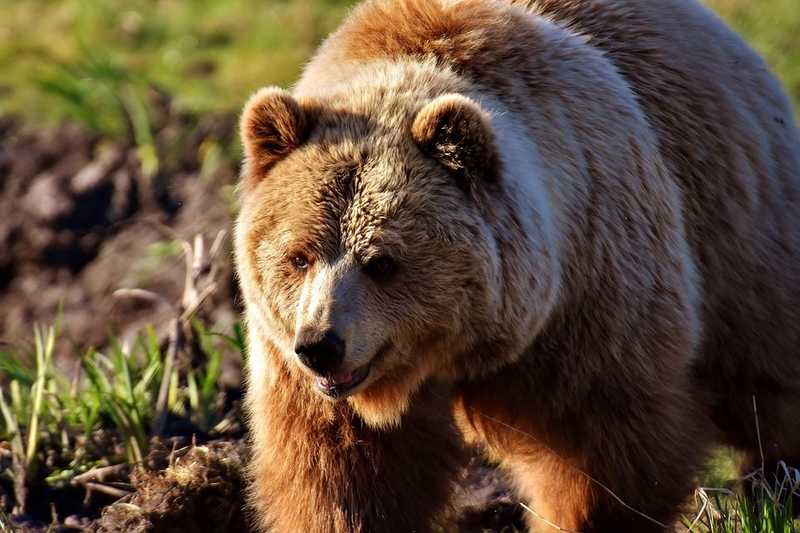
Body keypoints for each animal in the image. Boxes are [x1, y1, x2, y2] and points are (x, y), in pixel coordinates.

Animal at [234, 2, 800, 528]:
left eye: (382, 262)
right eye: (299, 256)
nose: (321, 346)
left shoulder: (591, 291)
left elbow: (601, 452)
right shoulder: (297, 369)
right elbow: (343, 473)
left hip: (738, 235)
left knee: (765, 376)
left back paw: (777, 482)